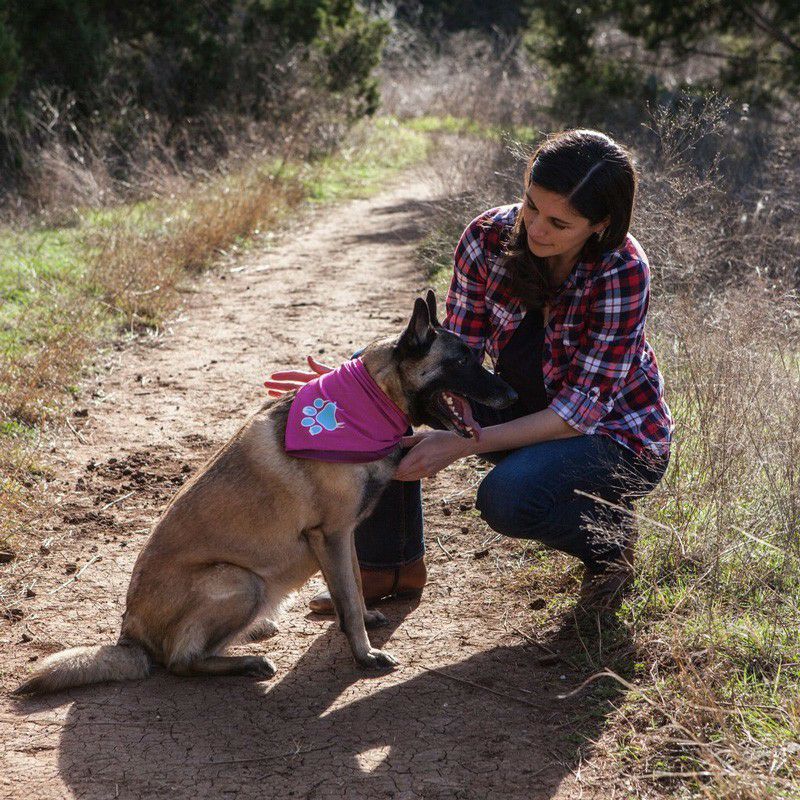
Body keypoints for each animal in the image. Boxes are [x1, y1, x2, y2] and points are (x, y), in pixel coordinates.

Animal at [15, 291, 516, 695]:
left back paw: (255, 635)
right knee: (180, 662)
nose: (512, 396)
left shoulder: (342, 538)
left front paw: (364, 621)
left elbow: (353, 586)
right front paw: (364, 654)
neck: (369, 400)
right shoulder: (332, 535)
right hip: (241, 582)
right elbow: (348, 600)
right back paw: (245, 661)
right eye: (462, 361)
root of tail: (129, 636)